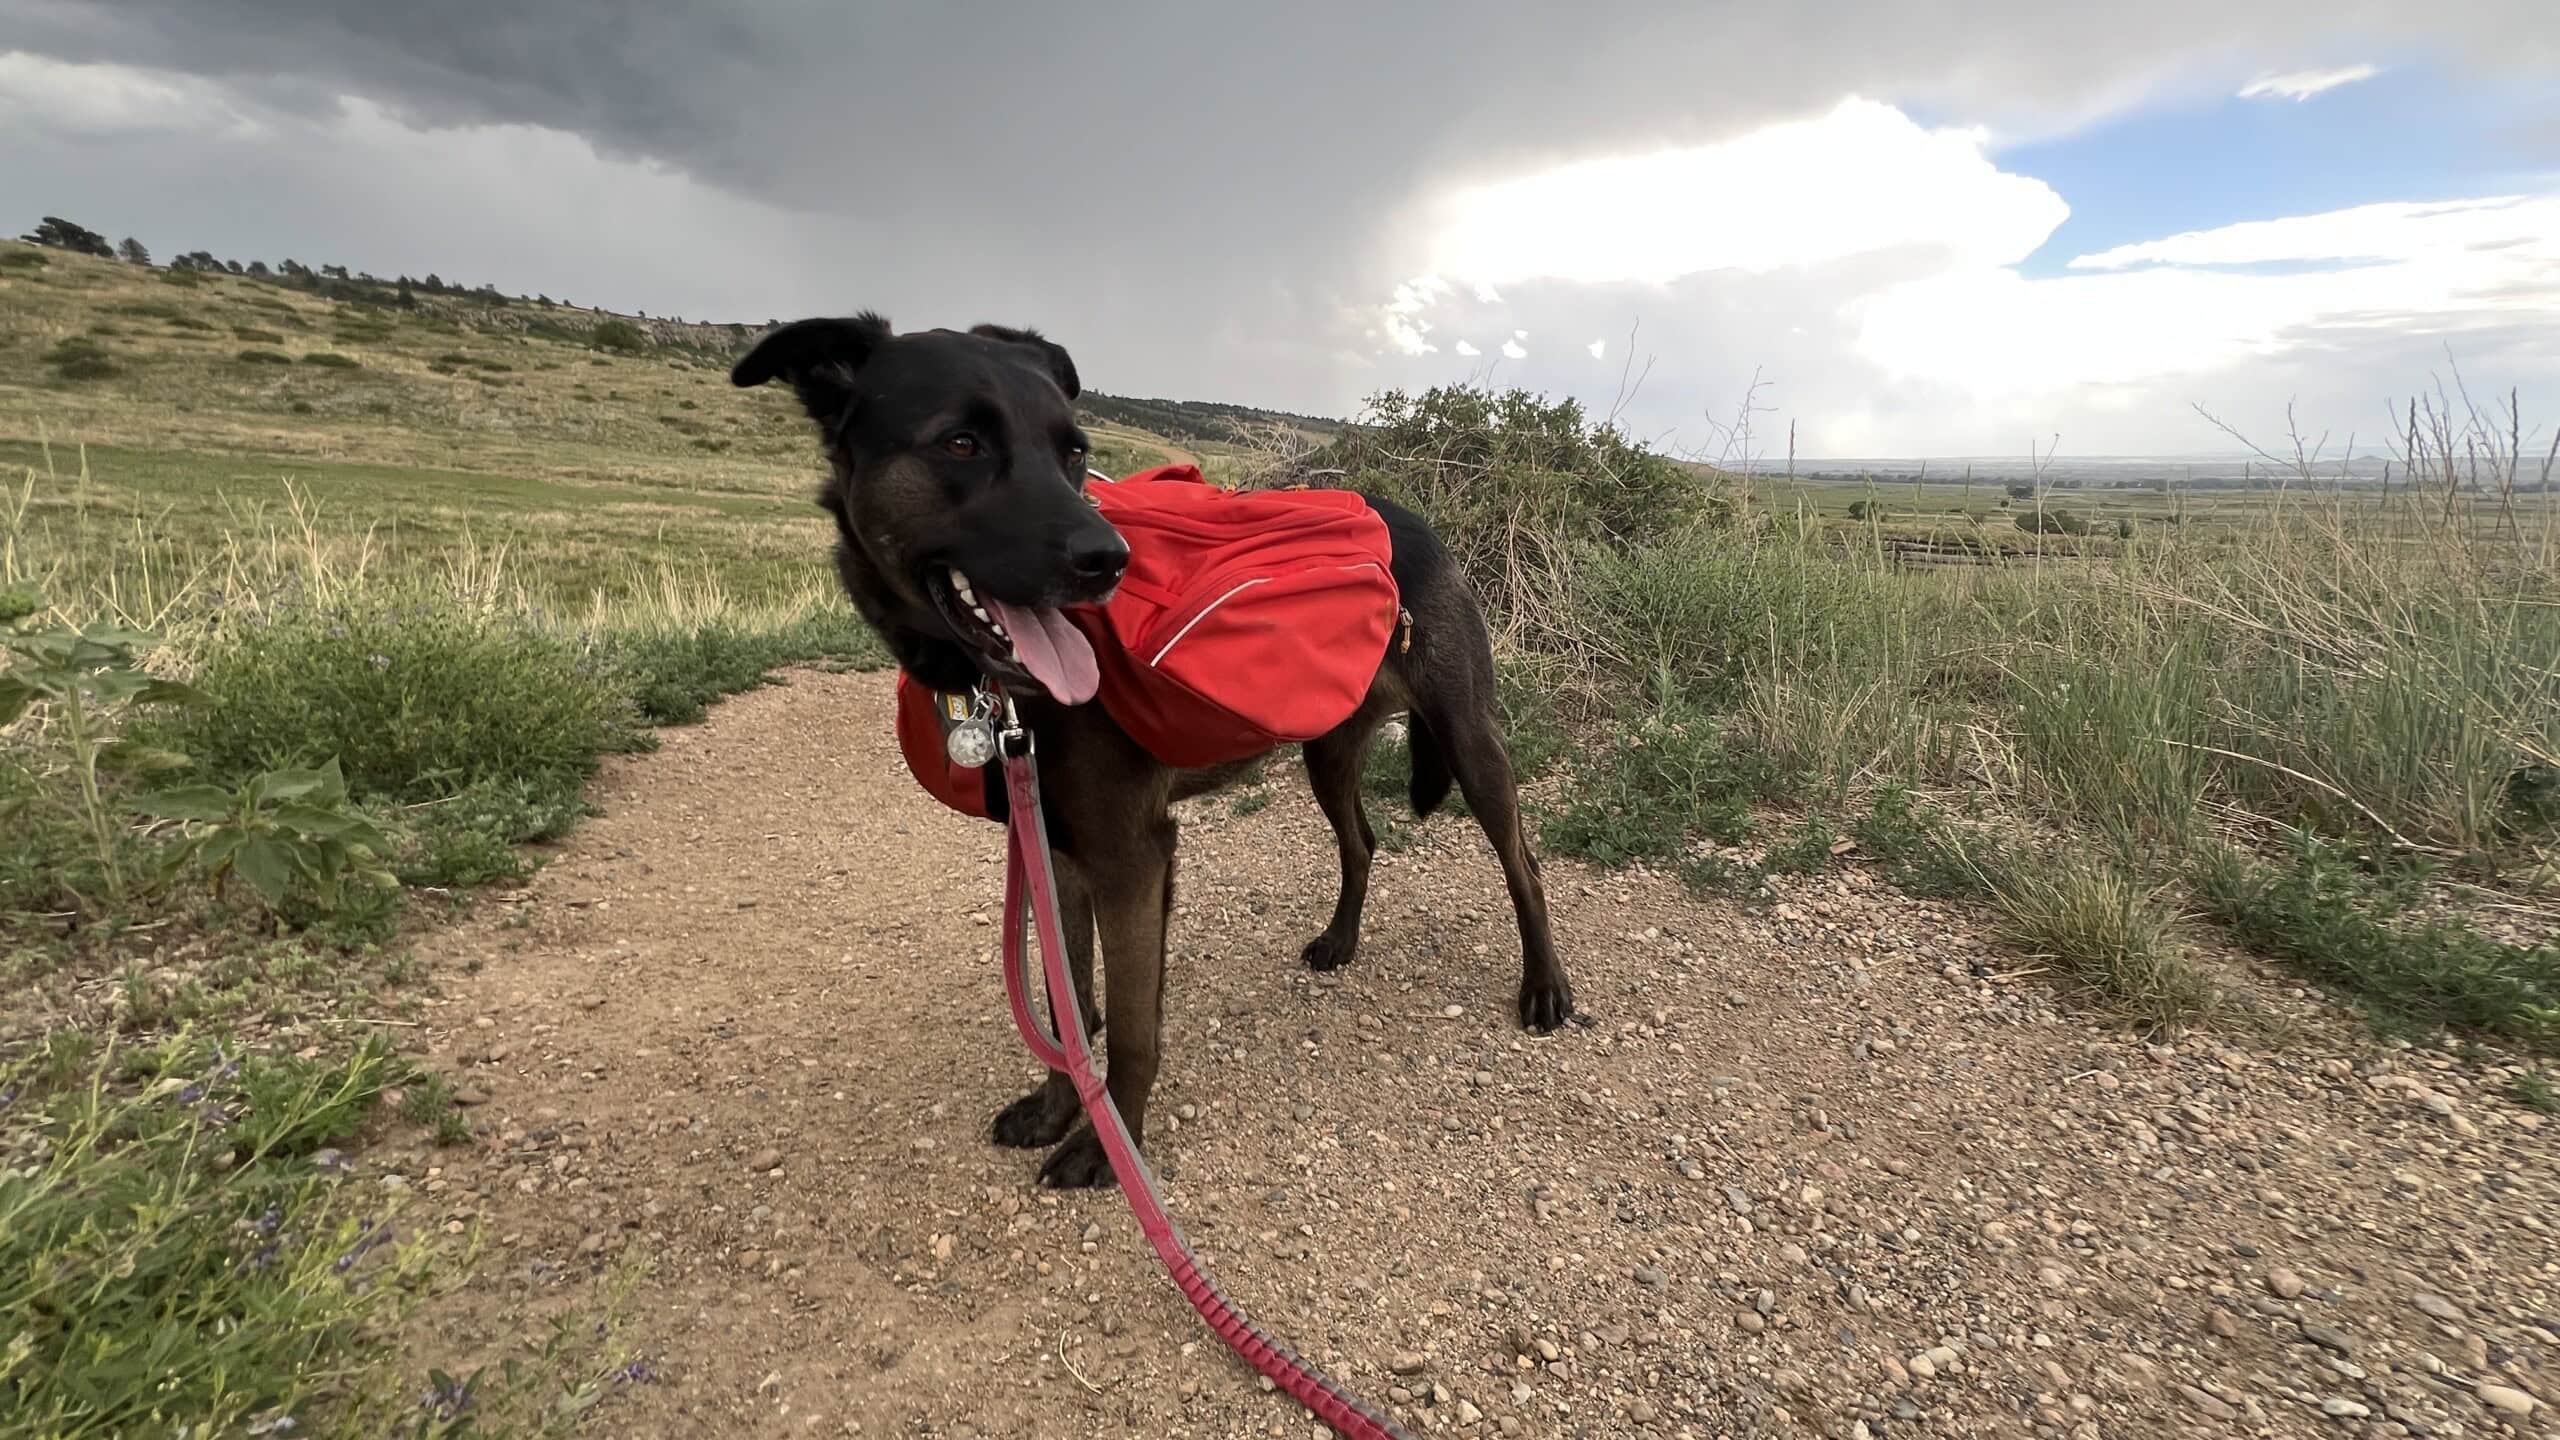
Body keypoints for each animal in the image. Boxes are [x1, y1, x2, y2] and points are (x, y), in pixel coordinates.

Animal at [742, 319, 1566, 1183]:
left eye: (1074, 452)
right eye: (960, 442)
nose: (1109, 561)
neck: (1012, 692)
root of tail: (1417, 522)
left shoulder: (1133, 861)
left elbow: (1133, 1031)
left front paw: (1110, 1145)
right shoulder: (1058, 858)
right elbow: (1067, 1002)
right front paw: (1056, 1108)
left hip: (1470, 742)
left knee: (1523, 865)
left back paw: (1545, 987)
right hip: (1328, 753)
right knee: (1362, 842)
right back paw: (1341, 941)